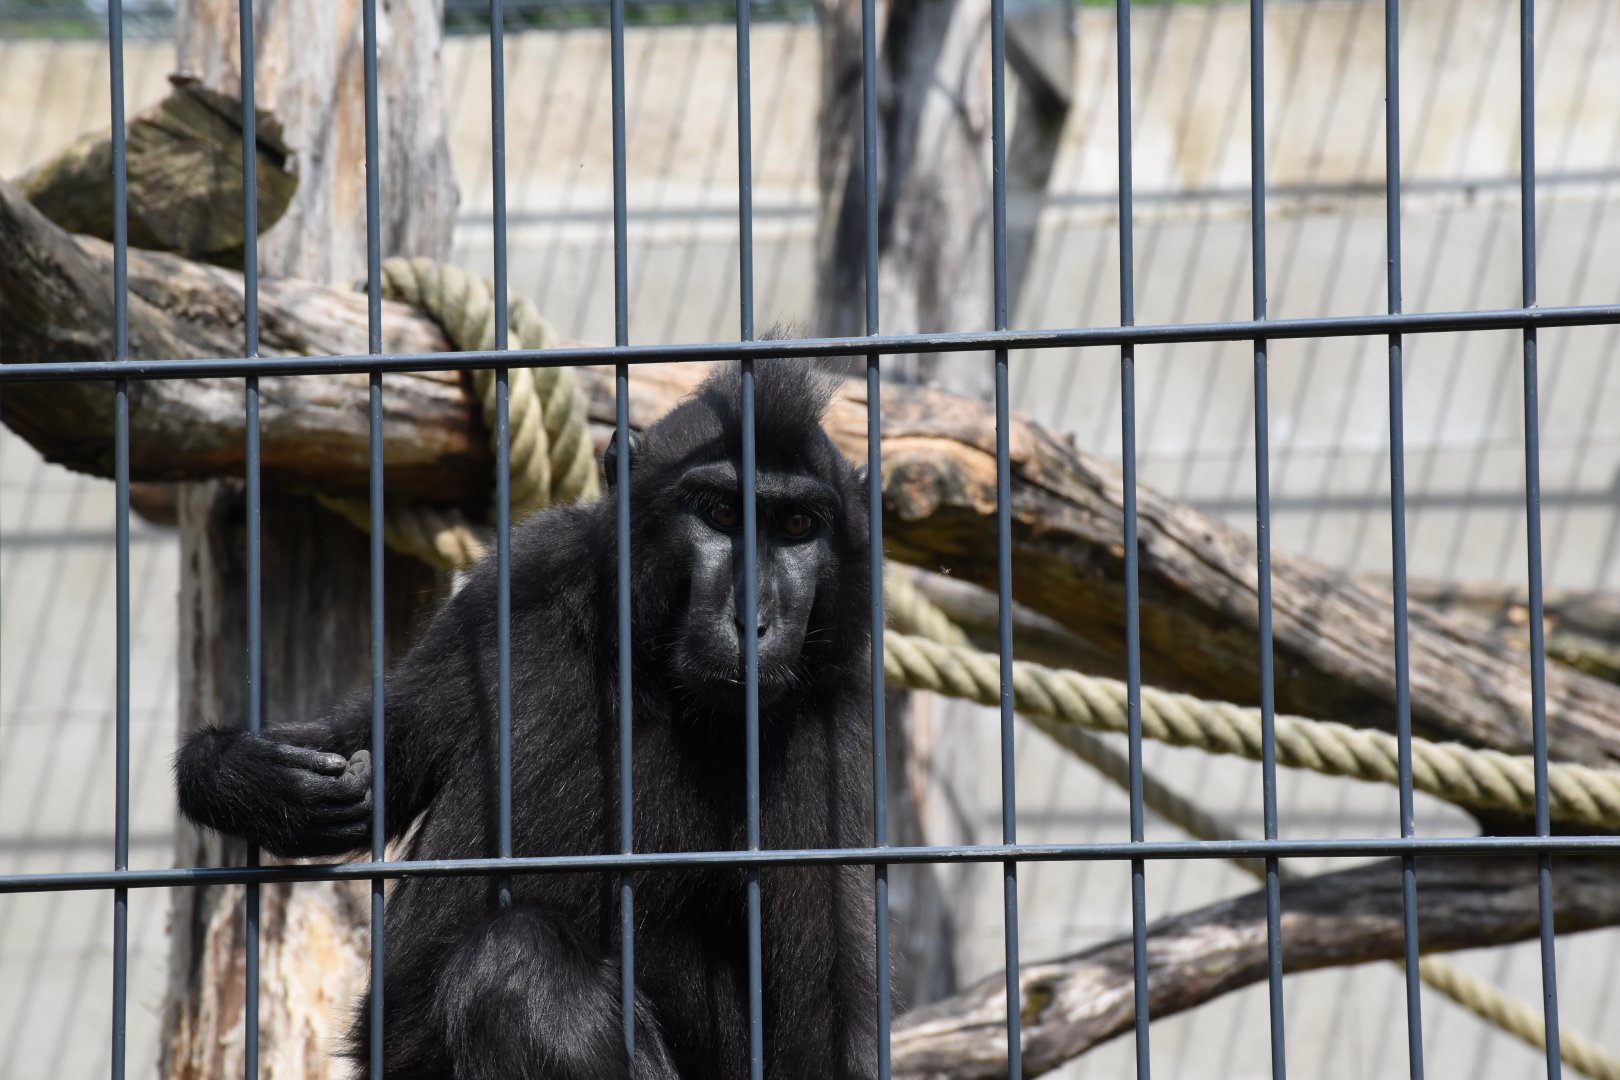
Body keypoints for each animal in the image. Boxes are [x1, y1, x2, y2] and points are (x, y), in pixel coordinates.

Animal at [175, 360, 880, 1080]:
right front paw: (247, 777)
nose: (752, 622)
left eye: (797, 525)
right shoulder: (520, 579)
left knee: (518, 967)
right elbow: (376, 752)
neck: (659, 682)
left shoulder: (825, 727)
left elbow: (816, 1039)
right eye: (721, 513)